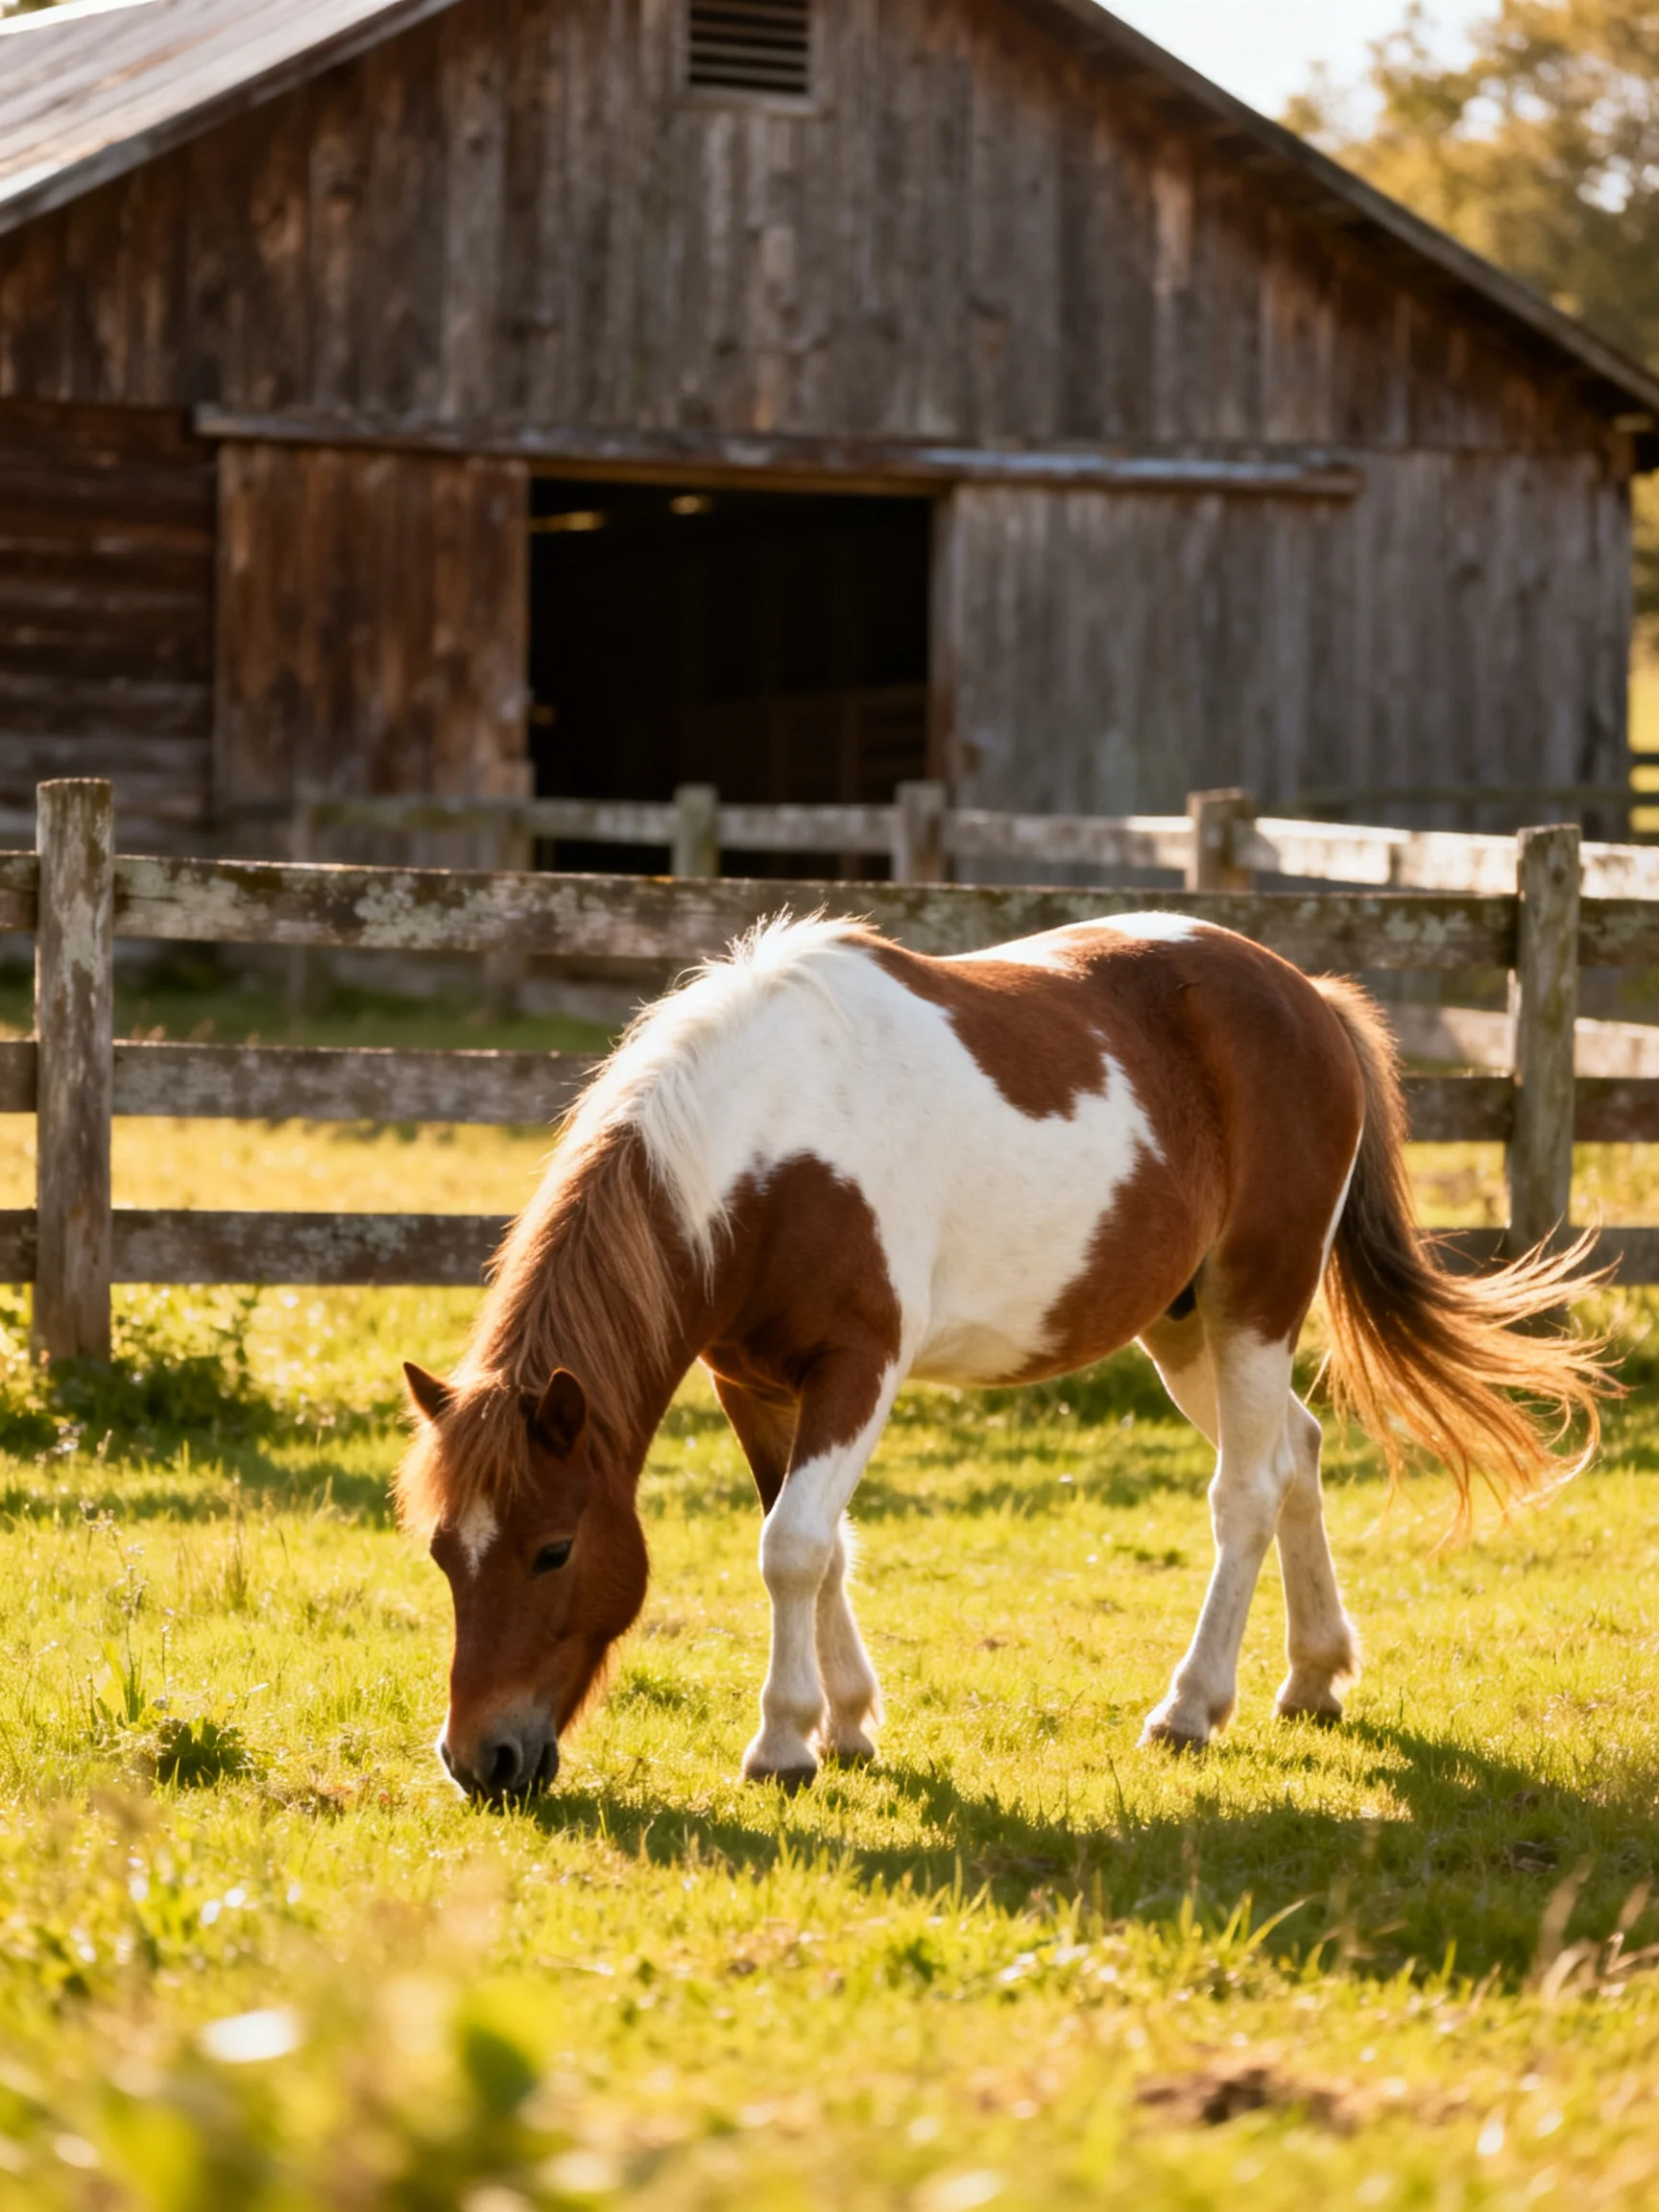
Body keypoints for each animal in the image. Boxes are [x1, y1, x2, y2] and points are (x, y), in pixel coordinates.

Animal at [397, 912, 1607, 1801]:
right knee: (1298, 1455)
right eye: (443, 1552)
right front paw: (848, 1726)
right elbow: (813, 1542)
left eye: (555, 1551)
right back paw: (1312, 1678)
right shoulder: (751, 1380)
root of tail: (1306, 994)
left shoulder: (859, 1370)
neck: (766, 1149)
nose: (480, 1762)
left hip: (1255, 1305)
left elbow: (794, 1546)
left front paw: (784, 1744)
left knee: (1247, 1493)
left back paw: (1190, 1708)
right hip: (1183, 1327)